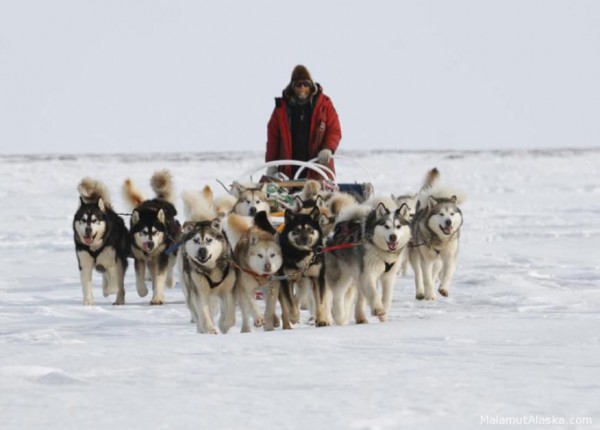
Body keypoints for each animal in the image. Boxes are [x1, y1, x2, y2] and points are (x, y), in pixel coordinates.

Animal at [73, 178, 129, 306]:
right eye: (83, 220)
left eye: (95, 220)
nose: (88, 229)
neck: (94, 247)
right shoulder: (84, 263)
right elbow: (87, 285)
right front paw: (88, 302)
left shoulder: (113, 261)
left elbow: (114, 284)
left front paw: (109, 290)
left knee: (118, 283)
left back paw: (118, 299)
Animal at [121, 169, 178, 306]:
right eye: (144, 232)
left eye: (156, 232)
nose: (150, 244)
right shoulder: (139, 258)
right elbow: (139, 280)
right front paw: (143, 291)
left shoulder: (162, 256)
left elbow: (160, 278)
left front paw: (157, 297)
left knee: (169, 268)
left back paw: (169, 282)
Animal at [408, 167, 464, 298]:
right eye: (441, 214)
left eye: (452, 214)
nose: (448, 222)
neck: (441, 240)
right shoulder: (426, 260)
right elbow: (426, 279)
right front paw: (430, 296)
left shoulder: (450, 257)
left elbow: (447, 274)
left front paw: (443, 289)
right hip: (416, 255)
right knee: (419, 275)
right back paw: (421, 292)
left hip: (437, 261)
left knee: (435, 273)